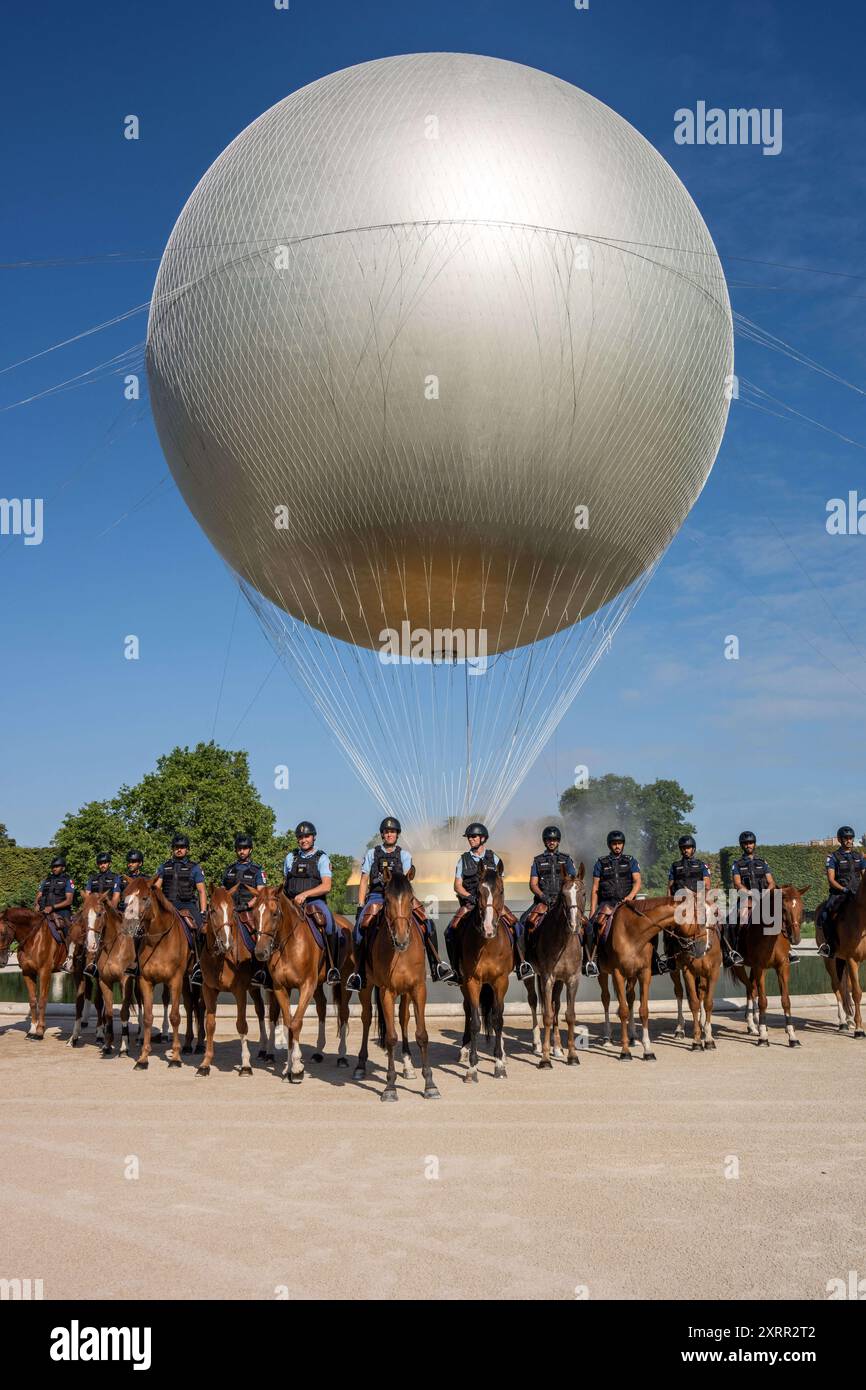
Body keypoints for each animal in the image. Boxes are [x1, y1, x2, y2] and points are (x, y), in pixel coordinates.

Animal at [350, 861, 436, 1100]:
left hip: (405, 993)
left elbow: (421, 1034)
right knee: (367, 1018)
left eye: (410, 898)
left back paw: (407, 1066)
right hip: (367, 987)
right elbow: (390, 1037)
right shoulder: (386, 991)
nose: (401, 939)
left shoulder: (418, 989)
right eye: (387, 900)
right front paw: (389, 1087)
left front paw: (430, 1084)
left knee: (404, 1019)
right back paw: (360, 1065)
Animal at [453, 861, 514, 1078]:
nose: (489, 928)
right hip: (464, 984)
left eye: (501, 890)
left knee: (497, 1014)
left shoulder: (501, 981)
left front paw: (499, 1064)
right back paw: (464, 1049)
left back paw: (502, 1052)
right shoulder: (472, 981)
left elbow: (498, 1019)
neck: (487, 945)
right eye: (478, 892)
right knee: (468, 1011)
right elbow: (475, 1022)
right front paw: (472, 1067)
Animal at [525, 861, 586, 1067]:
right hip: (530, 976)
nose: (574, 925)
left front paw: (572, 1055)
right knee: (534, 1002)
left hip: (559, 982)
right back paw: (537, 1044)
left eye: (583, 893)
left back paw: (557, 1048)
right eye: (563, 895)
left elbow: (569, 1015)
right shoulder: (547, 978)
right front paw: (544, 1058)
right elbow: (547, 1015)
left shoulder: (572, 979)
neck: (563, 941)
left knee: (556, 1005)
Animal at [733, 884, 811, 1045]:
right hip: (740, 967)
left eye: (801, 908)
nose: (796, 938)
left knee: (751, 989)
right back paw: (755, 1025)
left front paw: (792, 1036)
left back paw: (753, 1025)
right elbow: (763, 1000)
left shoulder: (782, 967)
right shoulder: (760, 968)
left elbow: (786, 1000)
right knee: (752, 990)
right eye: (784, 909)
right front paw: (763, 1036)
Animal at [817, 872, 866, 1039]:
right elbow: (857, 993)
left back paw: (849, 1019)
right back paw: (843, 1022)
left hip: (841, 960)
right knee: (837, 987)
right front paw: (859, 1029)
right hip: (830, 961)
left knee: (846, 987)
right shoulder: (852, 960)